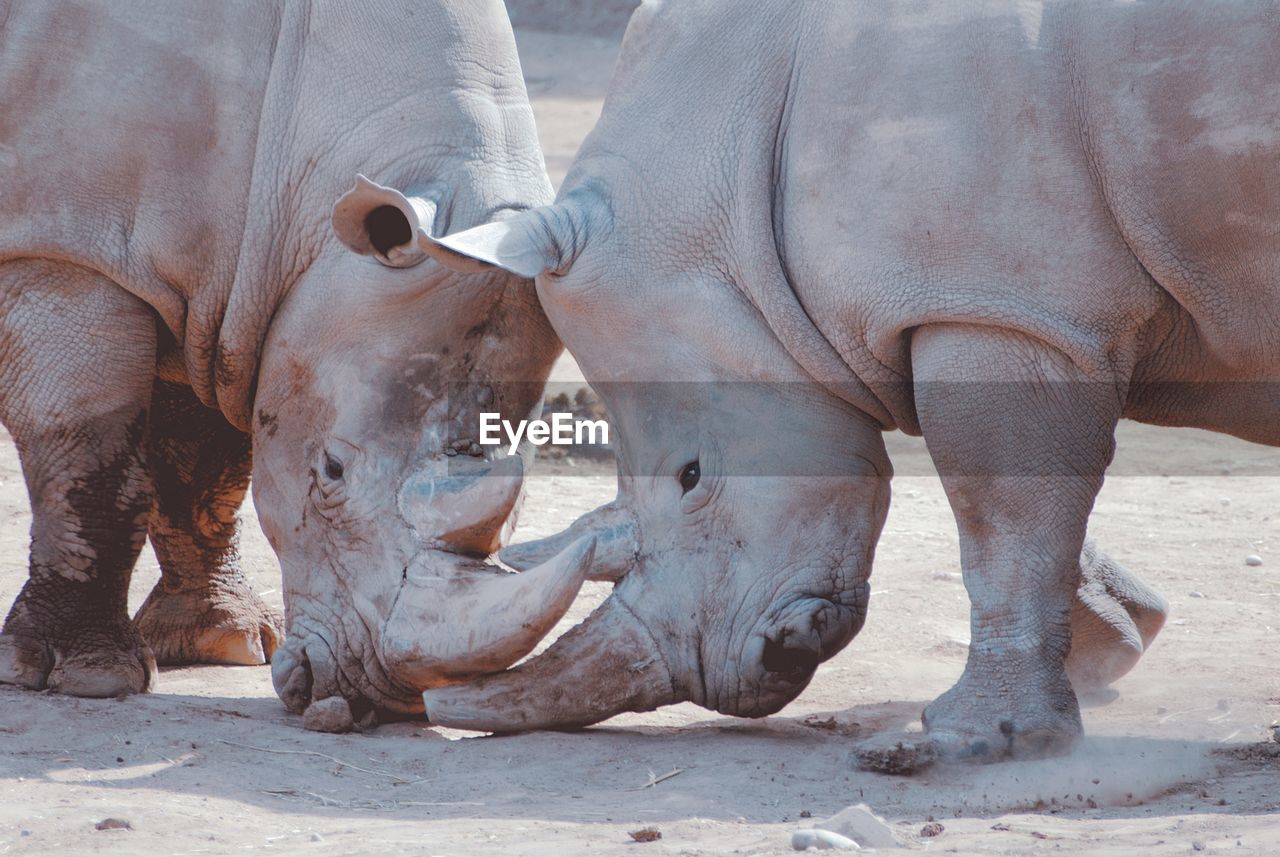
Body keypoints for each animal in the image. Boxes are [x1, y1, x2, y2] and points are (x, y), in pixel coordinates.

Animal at [0, 0, 589, 717]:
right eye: (330, 470)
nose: (382, 694)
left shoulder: (227, 292)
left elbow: (204, 467)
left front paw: (222, 641)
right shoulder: (66, 251)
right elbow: (92, 455)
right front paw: (87, 675)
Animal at [414, 0, 1277, 761]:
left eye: (692, 475)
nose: (740, 671)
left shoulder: (998, 309)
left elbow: (1003, 517)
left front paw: (977, 740)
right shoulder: (1018, 307)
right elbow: (1033, 509)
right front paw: (1114, 635)